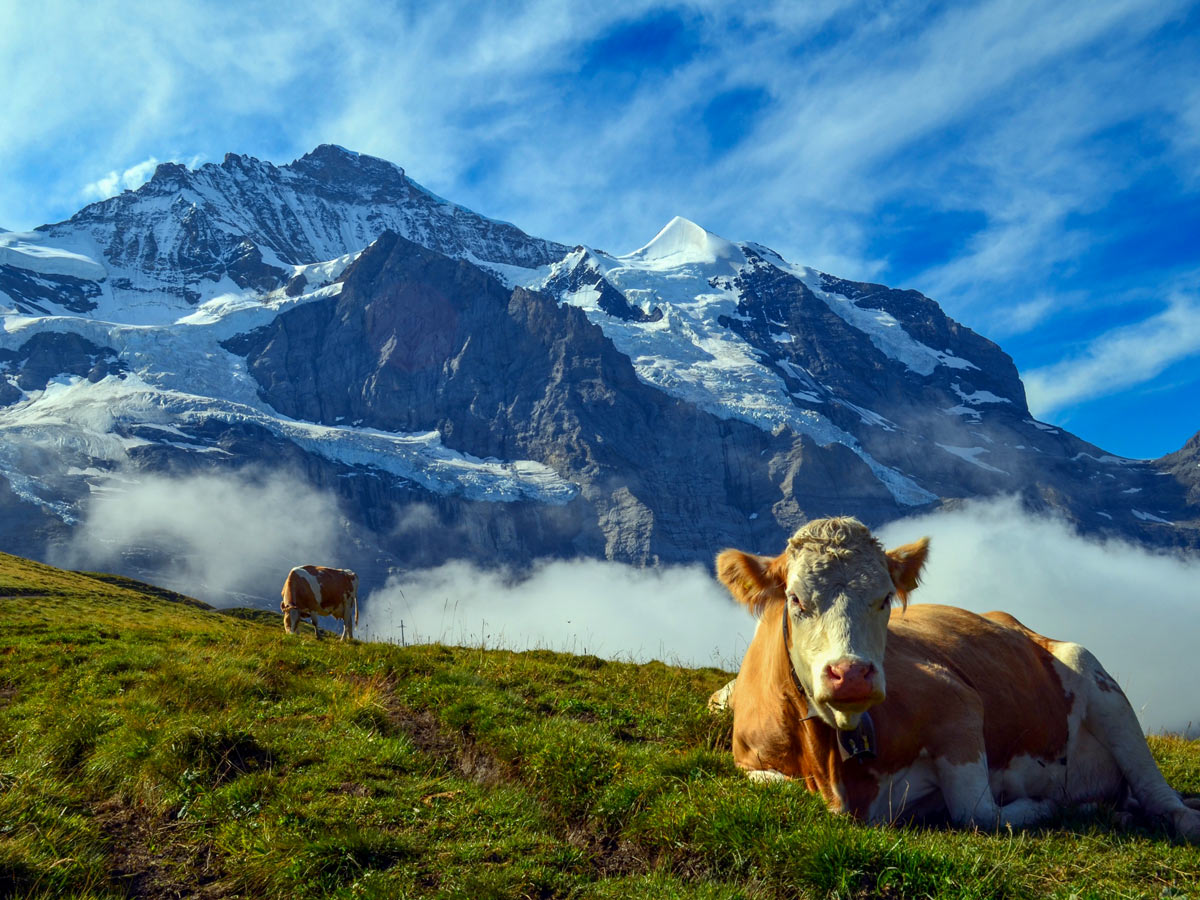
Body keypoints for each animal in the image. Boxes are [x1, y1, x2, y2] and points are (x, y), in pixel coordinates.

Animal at [710, 518, 1200, 844]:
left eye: (884, 599)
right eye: (796, 599)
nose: (851, 674)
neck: (832, 769)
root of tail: (1016, 623)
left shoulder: (957, 701)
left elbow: (977, 812)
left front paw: (1043, 806)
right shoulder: (747, 762)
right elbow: (782, 786)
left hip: (1098, 679)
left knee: (1158, 793)